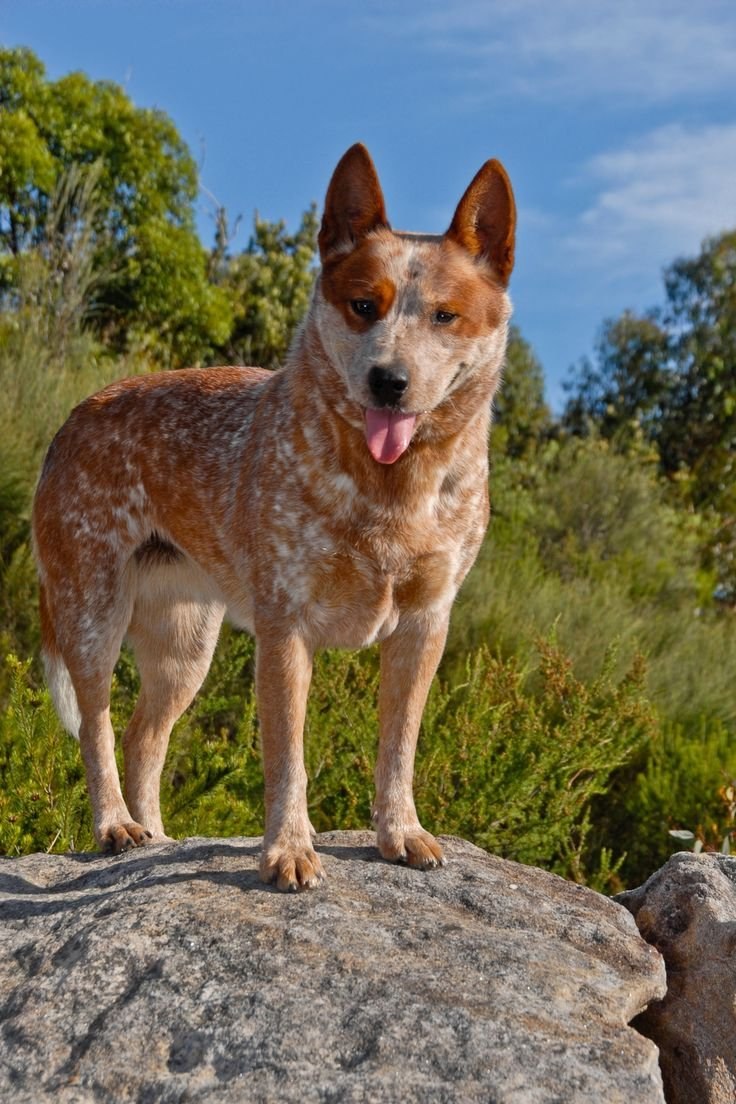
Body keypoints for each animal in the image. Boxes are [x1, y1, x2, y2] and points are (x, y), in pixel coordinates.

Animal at [33, 144, 518, 887]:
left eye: (445, 315)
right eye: (363, 305)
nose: (388, 381)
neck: (390, 490)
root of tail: (68, 422)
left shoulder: (425, 625)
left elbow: (399, 747)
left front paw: (400, 833)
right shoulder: (286, 628)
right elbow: (288, 758)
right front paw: (288, 850)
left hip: (185, 647)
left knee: (146, 738)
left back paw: (157, 837)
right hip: (92, 616)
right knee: (98, 727)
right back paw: (115, 826)